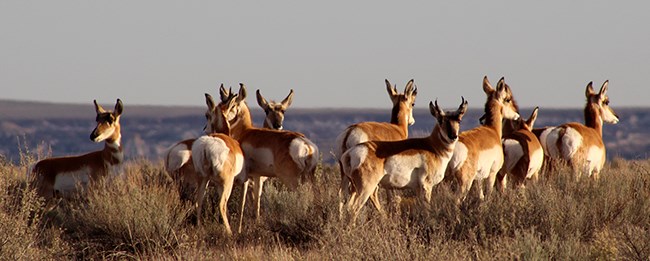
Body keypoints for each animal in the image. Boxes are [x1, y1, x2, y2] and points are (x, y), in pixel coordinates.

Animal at [192, 93, 246, 234]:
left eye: (207, 115)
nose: (205, 128)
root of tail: (206, 145)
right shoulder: (240, 182)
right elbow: (239, 205)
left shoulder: (217, 184)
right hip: (228, 183)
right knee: (221, 204)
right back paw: (229, 232)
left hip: (203, 179)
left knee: (198, 202)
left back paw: (199, 229)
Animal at [224, 84, 318, 221]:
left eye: (233, 105)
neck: (246, 131)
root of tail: (306, 145)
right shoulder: (257, 176)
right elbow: (257, 200)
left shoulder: (248, 177)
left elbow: (245, 200)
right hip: (310, 178)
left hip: (290, 179)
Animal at [332, 78, 418, 214]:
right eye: (413, 103)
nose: (412, 121)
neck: (397, 128)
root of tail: (350, 132)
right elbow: (390, 192)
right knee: (366, 194)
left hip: (344, 173)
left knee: (341, 194)